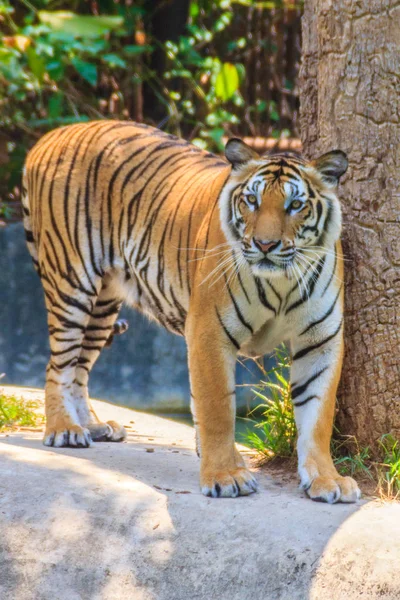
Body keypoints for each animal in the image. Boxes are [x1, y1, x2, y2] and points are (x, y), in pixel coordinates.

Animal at [21, 120, 360, 502]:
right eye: (252, 200)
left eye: (295, 204)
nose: (265, 245)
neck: (282, 282)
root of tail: (51, 136)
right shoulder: (209, 330)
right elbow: (217, 409)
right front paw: (226, 475)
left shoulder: (320, 340)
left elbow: (318, 415)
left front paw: (328, 479)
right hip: (72, 282)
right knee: (58, 365)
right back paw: (64, 429)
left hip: (104, 303)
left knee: (79, 367)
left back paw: (93, 425)